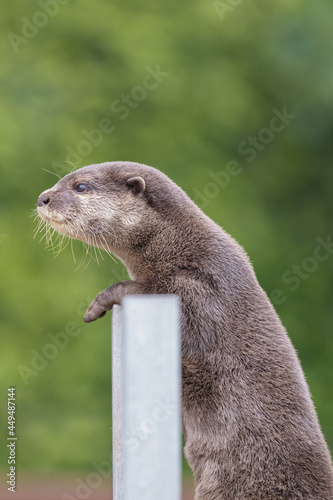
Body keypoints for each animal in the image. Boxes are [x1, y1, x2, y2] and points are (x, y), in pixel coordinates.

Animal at [37, 162, 332, 498]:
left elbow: (150, 292)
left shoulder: (202, 289)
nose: (43, 198)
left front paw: (101, 300)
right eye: (61, 181)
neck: (179, 246)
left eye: (81, 186)